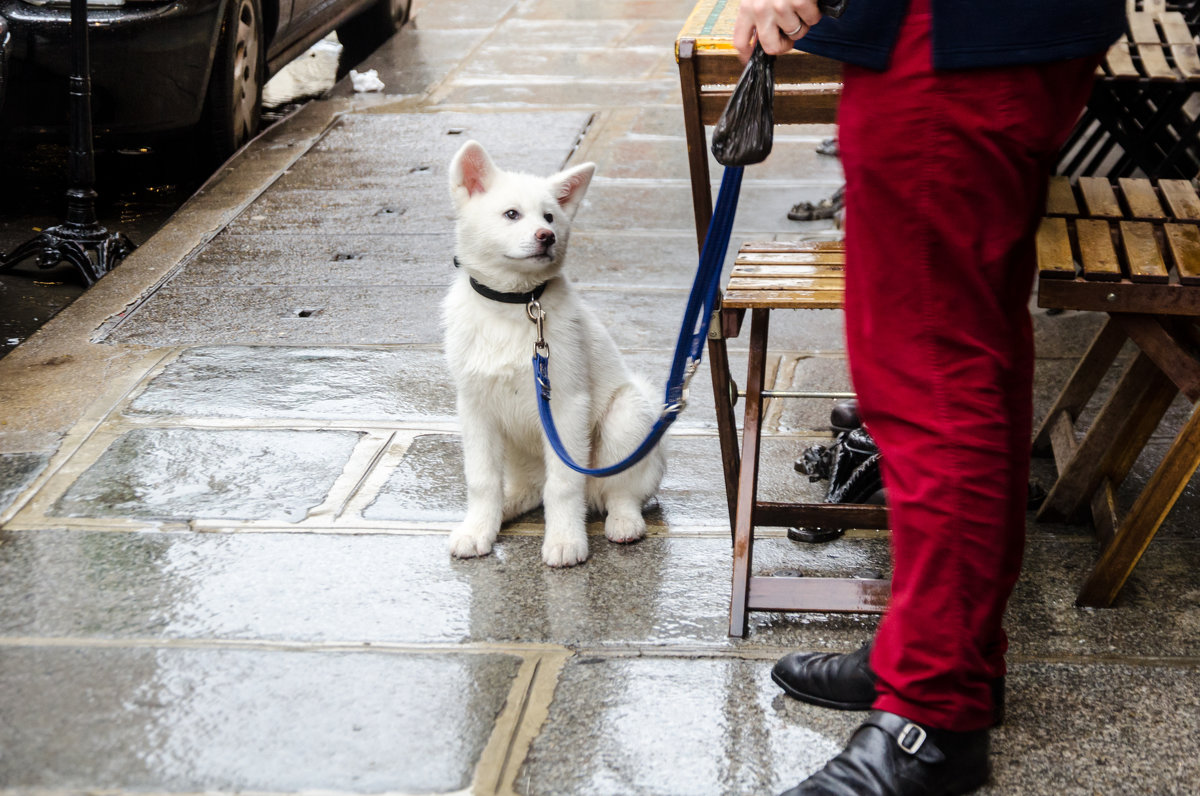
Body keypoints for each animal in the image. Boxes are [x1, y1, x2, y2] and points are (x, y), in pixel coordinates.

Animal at [444, 141, 667, 566]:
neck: (516, 305)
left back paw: (623, 522)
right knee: (530, 490)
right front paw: (477, 529)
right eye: (511, 214)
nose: (546, 235)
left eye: (550, 215)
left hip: (626, 415)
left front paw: (565, 541)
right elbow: (482, 480)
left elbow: (563, 485)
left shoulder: (566, 405)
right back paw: (507, 506)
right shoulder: (475, 408)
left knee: (620, 491)